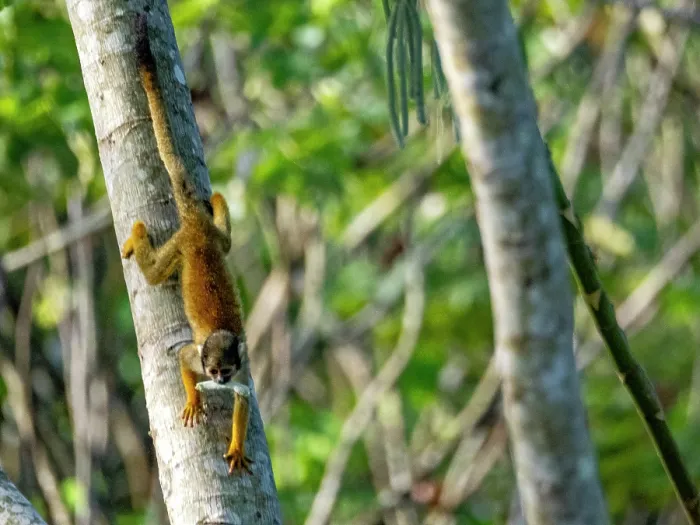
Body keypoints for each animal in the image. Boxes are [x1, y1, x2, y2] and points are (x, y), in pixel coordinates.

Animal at [120, 14, 252, 475]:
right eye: (210, 368)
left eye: (226, 371)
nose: (217, 380)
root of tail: (195, 225)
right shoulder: (196, 356)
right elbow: (180, 359)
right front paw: (195, 397)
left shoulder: (245, 368)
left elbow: (245, 401)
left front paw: (236, 445)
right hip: (180, 245)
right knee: (156, 273)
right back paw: (139, 238)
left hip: (209, 238)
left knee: (226, 243)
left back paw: (219, 202)